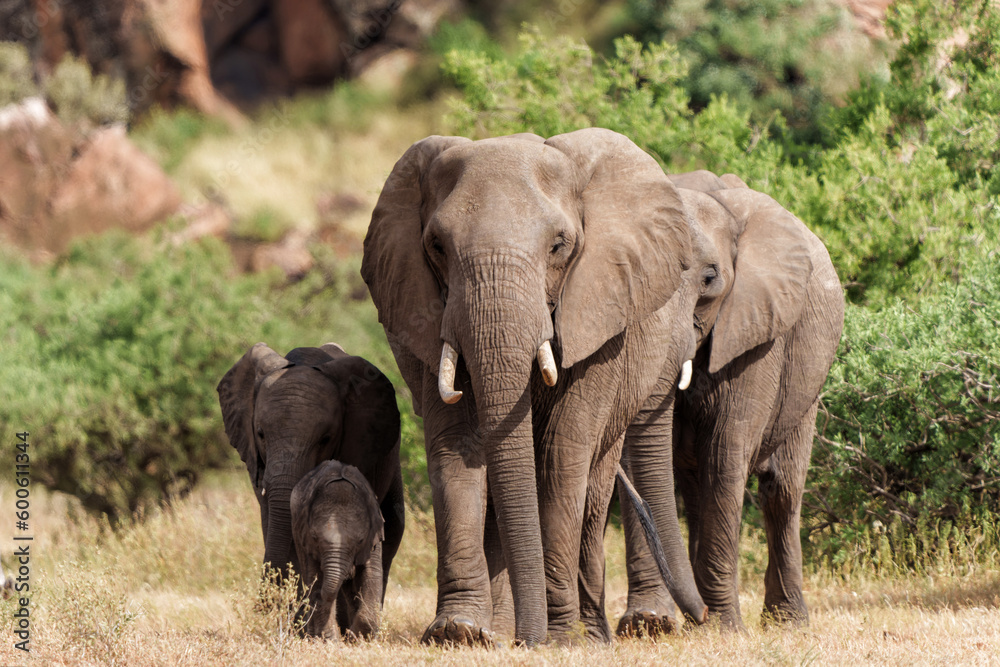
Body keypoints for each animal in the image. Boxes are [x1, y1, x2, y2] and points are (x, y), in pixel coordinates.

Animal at [292, 460, 386, 640]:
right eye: (314, 537)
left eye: (360, 540)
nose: (317, 597)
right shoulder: (306, 538)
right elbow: (315, 577)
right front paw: (330, 640)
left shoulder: (374, 537)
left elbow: (372, 575)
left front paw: (356, 639)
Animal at [364, 129, 708, 648]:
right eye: (437, 246)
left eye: (559, 246)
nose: (530, 640)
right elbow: (459, 449)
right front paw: (458, 632)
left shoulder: (599, 320)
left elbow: (560, 453)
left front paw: (560, 638)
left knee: (592, 490)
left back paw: (584, 633)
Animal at [616, 171, 844, 632]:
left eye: (709, 280)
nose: (700, 616)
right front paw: (651, 624)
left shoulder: (756, 330)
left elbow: (724, 455)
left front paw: (722, 628)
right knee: (694, 486)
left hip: (810, 373)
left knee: (781, 490)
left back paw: (787, 622)